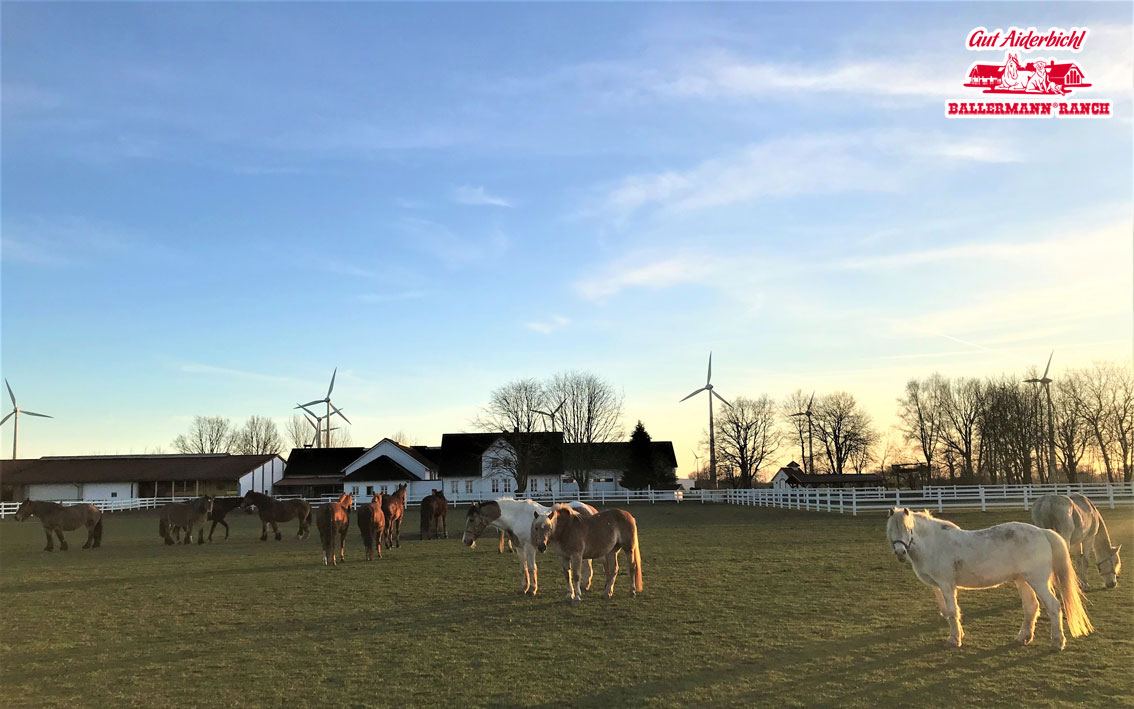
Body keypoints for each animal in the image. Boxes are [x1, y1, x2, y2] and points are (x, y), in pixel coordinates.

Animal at [462, 496, 603, 598]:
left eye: (472, 519)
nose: (466, 541)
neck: (517, 517)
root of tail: (589, 509)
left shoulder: (529, 547)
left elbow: (531, 568)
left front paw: (532, 589)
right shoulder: (519, 547)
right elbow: (523, 568)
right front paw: (524, 588)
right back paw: (585, 585)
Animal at [884, 505, 1088, 648]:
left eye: (909, 529)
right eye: (891, 531)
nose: (901, 553)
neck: (935, 544)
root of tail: (1042, 532)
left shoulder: (947, 584)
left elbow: (952, 611)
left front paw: (954, 640)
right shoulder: (937, 587)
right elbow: (947, 612)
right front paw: (958, 635)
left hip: (1037, 581)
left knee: (1053, 606)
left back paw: (1057, 642)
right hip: (1022, 580)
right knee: (1031, 607)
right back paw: (1023, 638)